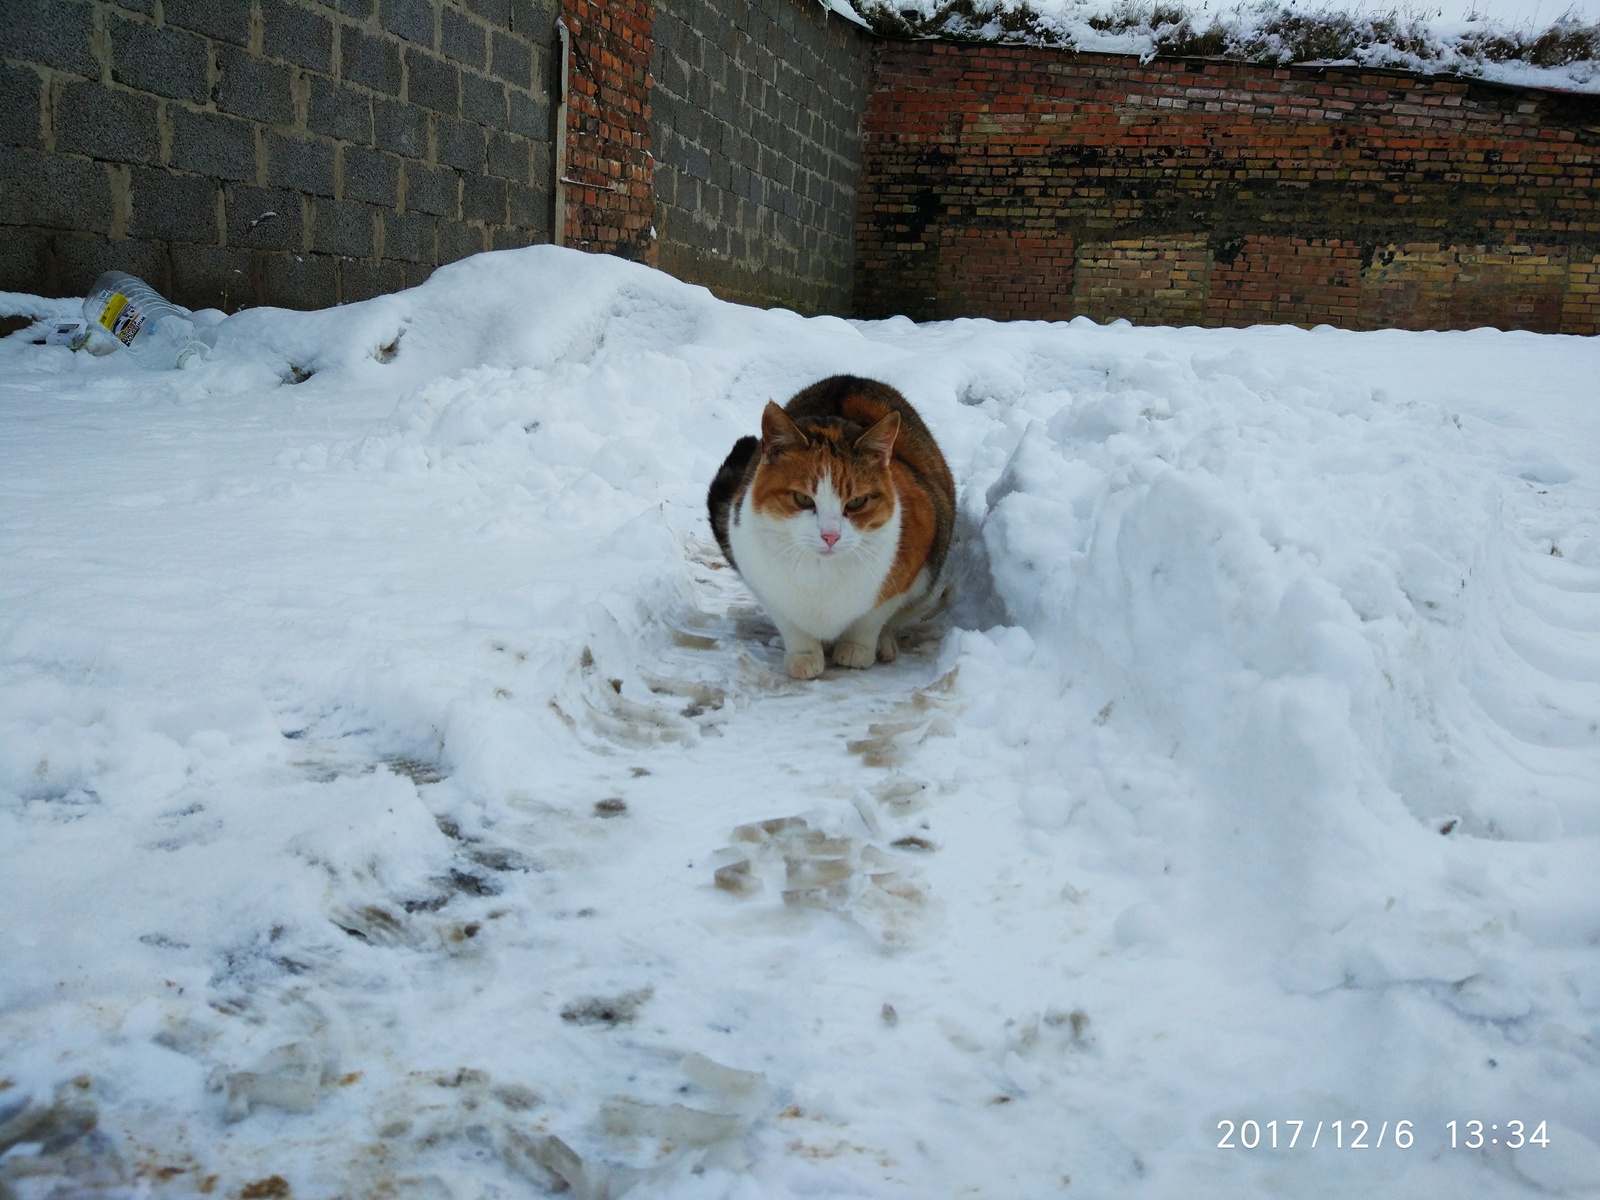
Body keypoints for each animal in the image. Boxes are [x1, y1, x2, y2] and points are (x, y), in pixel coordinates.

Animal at [710, 374, 953, 678]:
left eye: (857, 502)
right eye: (803, 498)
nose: (830, 536)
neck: (820, 573)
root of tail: (850, 379)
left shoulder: (910, 568)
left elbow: (872, 618)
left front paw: (857, 649)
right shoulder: (760, 579)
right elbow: (789, 622)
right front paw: (804, 655)